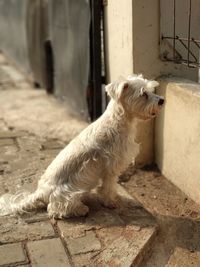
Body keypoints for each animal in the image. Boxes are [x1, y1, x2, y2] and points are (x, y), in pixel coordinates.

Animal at [0, 74, 164, 219]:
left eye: (151, 90)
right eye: (143, 94)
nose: (162, 100)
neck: (118, 122)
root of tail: (40, 192)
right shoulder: (110, 168)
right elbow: (108, 187)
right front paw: (110, 202)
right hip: (69, 193)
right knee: (55, 209)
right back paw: (80, 209)